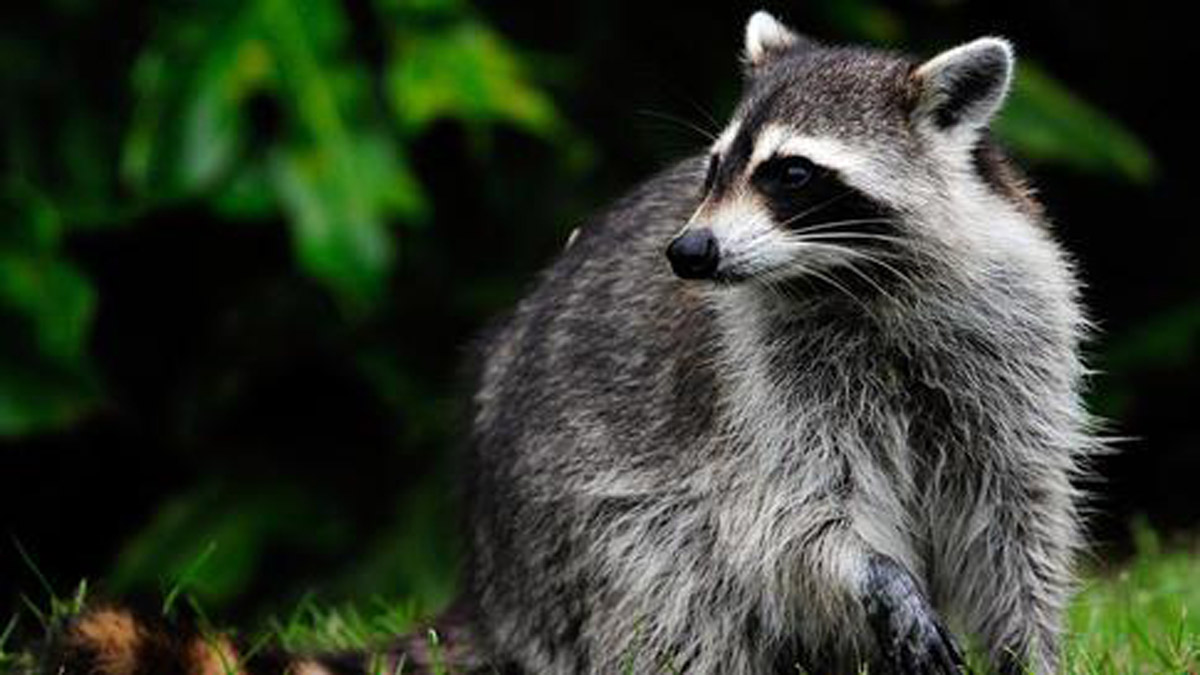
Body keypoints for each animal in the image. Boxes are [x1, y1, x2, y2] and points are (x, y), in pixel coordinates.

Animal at [47, 11, 1094, 675]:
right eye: (714, 167)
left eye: (792, 174)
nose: (689, 251)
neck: (856, 278)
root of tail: (488, 581)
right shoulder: (760, 385)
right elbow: (788, 520)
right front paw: (876, 577)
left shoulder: (1014, 332)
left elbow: (1018, 514)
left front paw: (1026, 650)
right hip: (576, 532)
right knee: (677, 592)